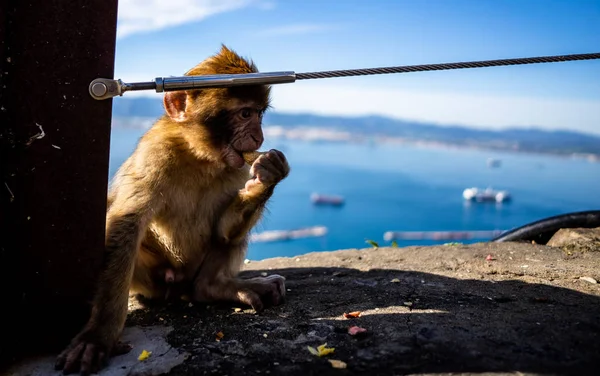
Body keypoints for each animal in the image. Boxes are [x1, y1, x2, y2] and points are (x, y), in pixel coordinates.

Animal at [55, 44, 290, 374]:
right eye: (245, 113)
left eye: (259, 114)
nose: (259, 137)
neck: (201, 157)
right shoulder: (154, 155)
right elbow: (126, 225)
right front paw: (98, 335)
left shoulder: (238, 168)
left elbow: (222, 230)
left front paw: (266, 176)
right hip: (152, 279)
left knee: (219, 254)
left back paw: (213, 287)